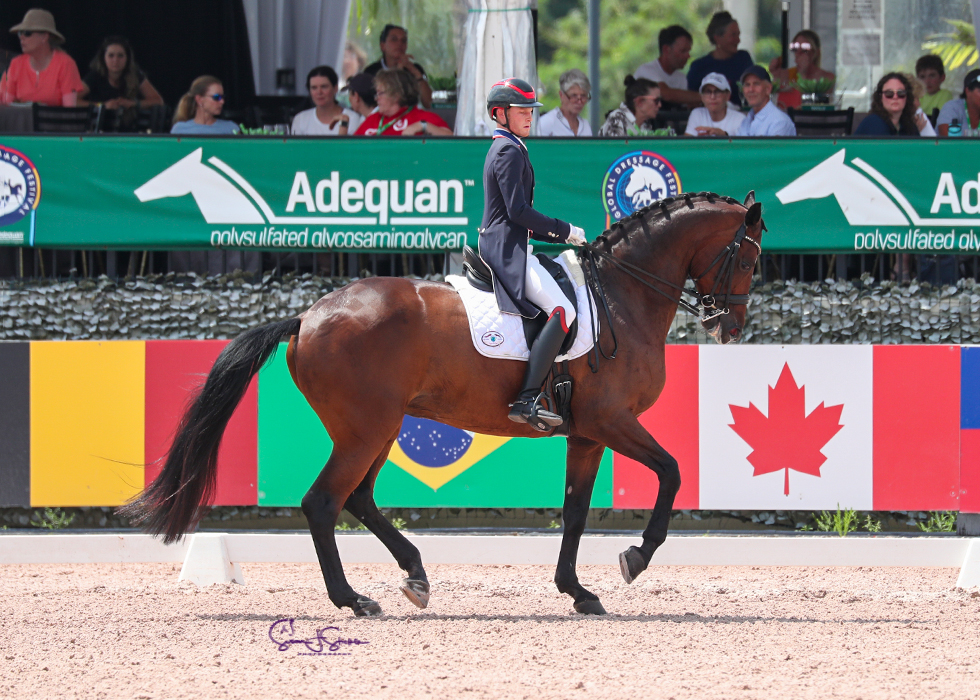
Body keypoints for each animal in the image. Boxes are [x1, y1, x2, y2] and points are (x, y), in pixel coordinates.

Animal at [120, 189, 764, 616]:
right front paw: (636, 557)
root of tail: (306, 317)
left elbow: (576, 511)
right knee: (324, 502)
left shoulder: (586, 431)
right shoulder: (612, 420)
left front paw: (578, 592)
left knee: (358, 498)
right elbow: (671, 472)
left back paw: (415, 576)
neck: (622, 294)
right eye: (749, 256)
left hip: (379, 428)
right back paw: (354, 599)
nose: (730, 327)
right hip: (365, 429)